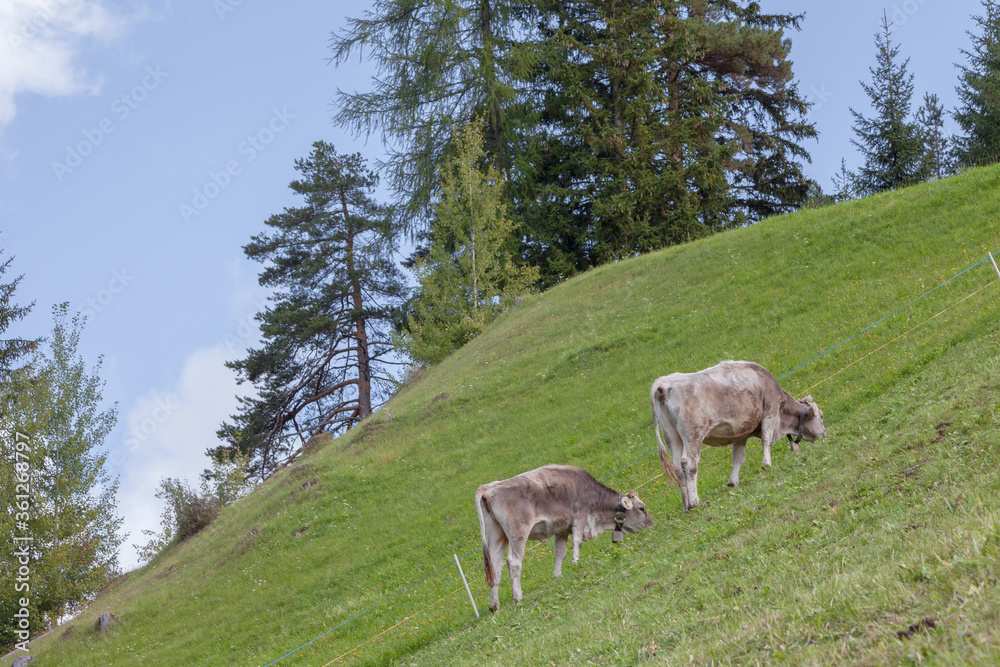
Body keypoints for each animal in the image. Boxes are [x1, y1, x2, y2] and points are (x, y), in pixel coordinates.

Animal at [475, 464, 655, 612]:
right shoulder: (581, 516)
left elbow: (560, 553)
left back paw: (494, 605)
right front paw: (576, 563)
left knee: (495, 566)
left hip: (497, 535)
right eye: (642, 508)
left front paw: (557, 576)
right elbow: (577, 542)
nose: (652, 524)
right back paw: (518, 596)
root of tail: (488, 487)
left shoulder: (561, 529)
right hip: (518, 533)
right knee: (513, 561)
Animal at [650, 360, 827, 511]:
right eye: (822, 416)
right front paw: (766, 464)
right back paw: (694, 501)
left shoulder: (741, 431)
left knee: (677, 468)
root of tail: (662, 383)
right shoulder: (771, 409)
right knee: (689, 463)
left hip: (671, 436)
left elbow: (738, 457)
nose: (825, 433)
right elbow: (766, 439)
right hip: (693, 434)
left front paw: (733, 481)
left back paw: (686, 504)